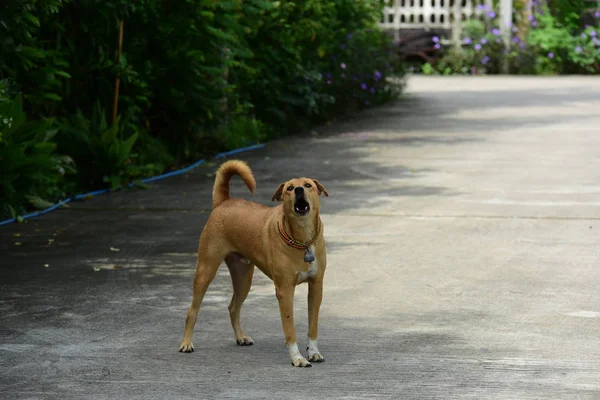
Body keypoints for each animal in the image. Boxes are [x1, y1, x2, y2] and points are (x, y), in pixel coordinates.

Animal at [179, 159, 328, 366]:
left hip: (243, 278)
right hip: (205, 270)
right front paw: (297, 358)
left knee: (233, 307)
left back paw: (241, 337)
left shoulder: (316, 287)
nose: (298, 190)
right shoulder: (285, 291)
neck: (302, 239)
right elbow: (290, 328)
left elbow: (312, 326)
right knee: (192, 311)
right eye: (289, 188)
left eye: (308, 185)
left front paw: (313, 352)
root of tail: (223, 202)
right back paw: (186, 343)